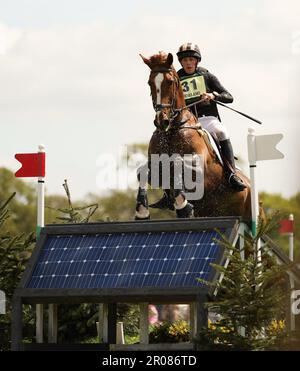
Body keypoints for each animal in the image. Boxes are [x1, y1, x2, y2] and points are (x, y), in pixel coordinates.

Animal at [135, 51, 252, 222]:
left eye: (170, 82)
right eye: (150, 83)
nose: (161, 121)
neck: (173, 130)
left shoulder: (198, 169)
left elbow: (177, 164)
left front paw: (183, 207)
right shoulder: (154, 163)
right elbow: (142, 171)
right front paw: (142, 213)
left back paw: (236, 180)